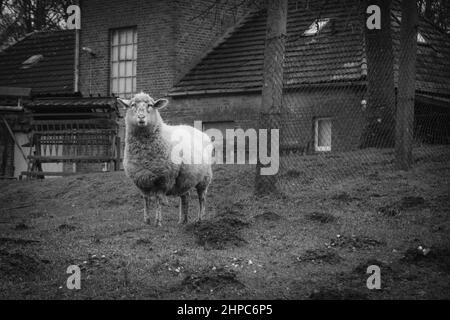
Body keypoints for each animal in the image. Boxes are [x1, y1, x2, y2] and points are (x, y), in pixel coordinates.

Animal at [118, 92, 212, 228]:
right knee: (185, 196)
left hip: (205, 177)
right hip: (185, 178)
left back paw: (200, 219)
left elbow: (158, 199)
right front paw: (146, 221)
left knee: (202, 197)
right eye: (132, 105)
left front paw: (158, 222)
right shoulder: (141, 179)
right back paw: (183, 220)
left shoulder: (162, 179)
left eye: (150, 105)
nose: (141, 117)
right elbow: (146, 200)